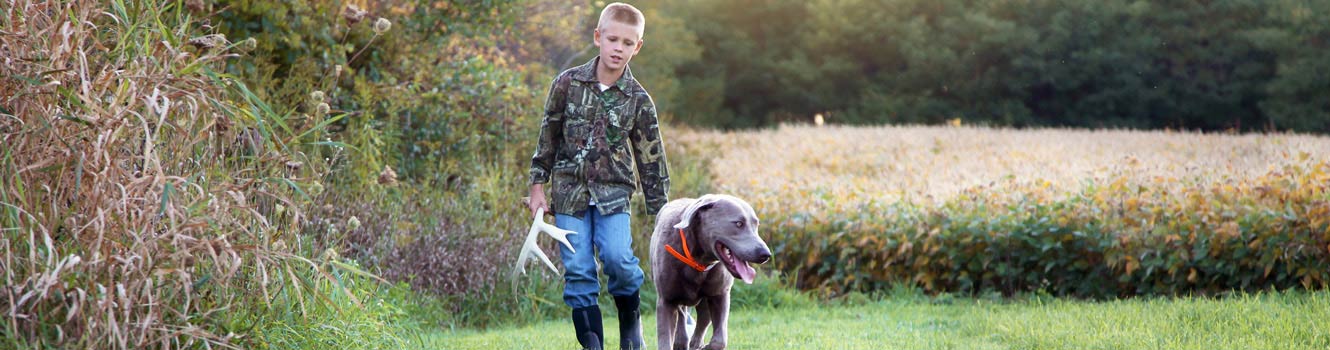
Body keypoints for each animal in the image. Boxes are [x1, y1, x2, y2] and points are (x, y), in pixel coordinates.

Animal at [651, 194, 776, 350]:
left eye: (756, 225)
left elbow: (720, 340)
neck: (699, 262)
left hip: (705, 301)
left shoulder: (720, 294)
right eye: (739, 223)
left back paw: (696, 343)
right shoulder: (666, 301)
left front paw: (705, 347)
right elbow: (665, 339)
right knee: (682, 318)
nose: (765, 254)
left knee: (702, 321)